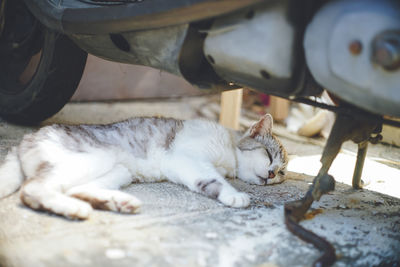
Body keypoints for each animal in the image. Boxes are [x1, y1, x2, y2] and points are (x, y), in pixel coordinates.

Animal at [0, 114, 288, 221]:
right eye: (268, 154)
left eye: (282, 173)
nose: (272, 173)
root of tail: (26, 139)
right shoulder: (188, 159)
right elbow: (214, 179)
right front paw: (235, 195)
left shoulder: (185, 166)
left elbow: (206, 181)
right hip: (93, 159)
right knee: (33, 189)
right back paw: (73, 208)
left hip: (118, 171)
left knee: (75, 189)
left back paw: (116, 202)